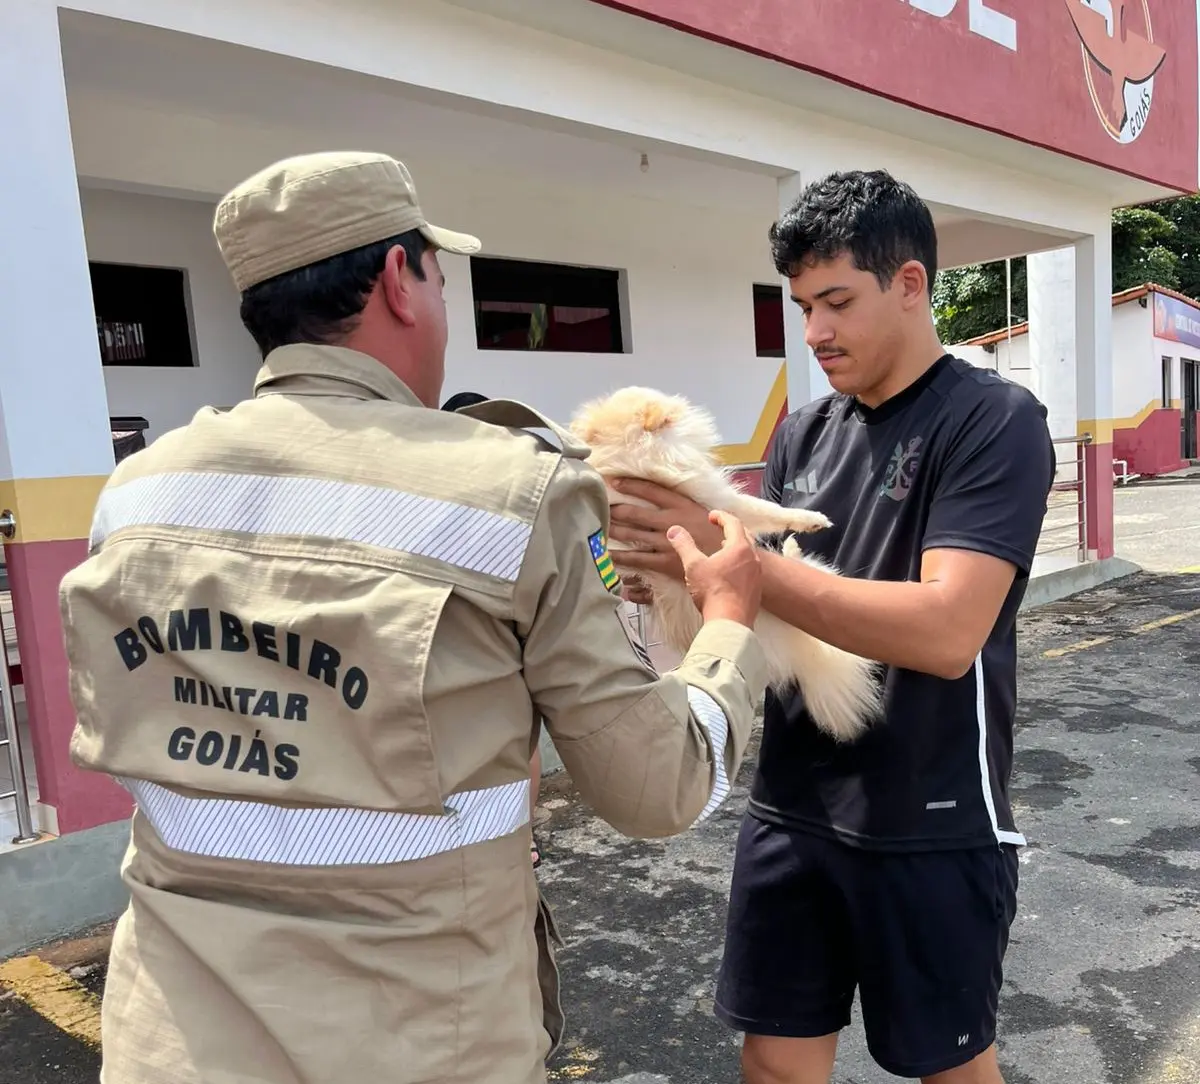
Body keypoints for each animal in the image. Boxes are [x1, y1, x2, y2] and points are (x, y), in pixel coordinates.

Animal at [571, 384, 883, 744]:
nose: (678, 401)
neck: (627, 462)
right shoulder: (725, 505)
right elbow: (769, 510)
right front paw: (811, 519)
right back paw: (792, 548)